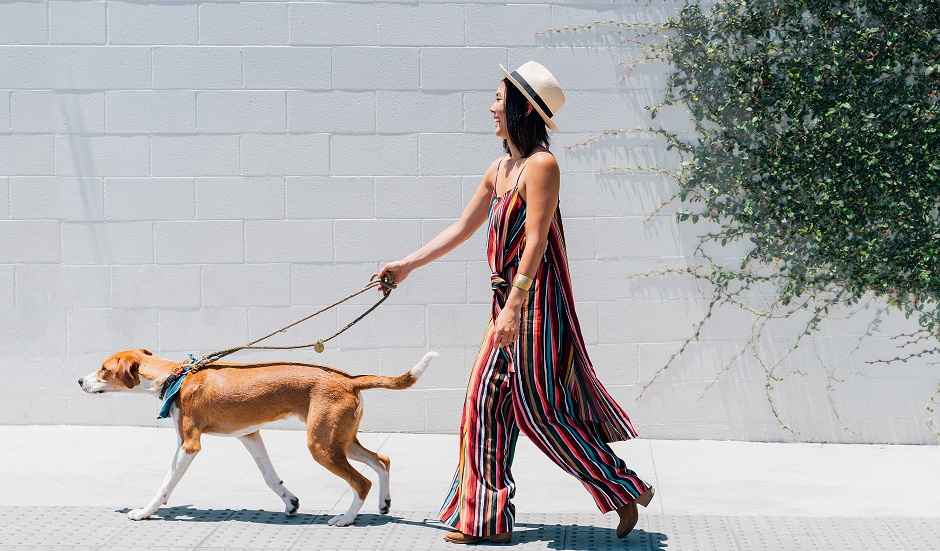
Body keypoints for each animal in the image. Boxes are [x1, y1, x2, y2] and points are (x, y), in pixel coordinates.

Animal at [78, 350, 436, 528]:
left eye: (103, 369)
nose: (80, 380)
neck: (174, 377)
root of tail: (351, 380)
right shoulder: (250, 435)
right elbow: (270, 477)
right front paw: (290, 502)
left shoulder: (189, 444)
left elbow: (165, 484)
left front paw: (144, 512)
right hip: (340, 440)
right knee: (382, 460)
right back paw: (384, 503)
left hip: (321, 446)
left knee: (362, 482)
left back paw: (346, 519)